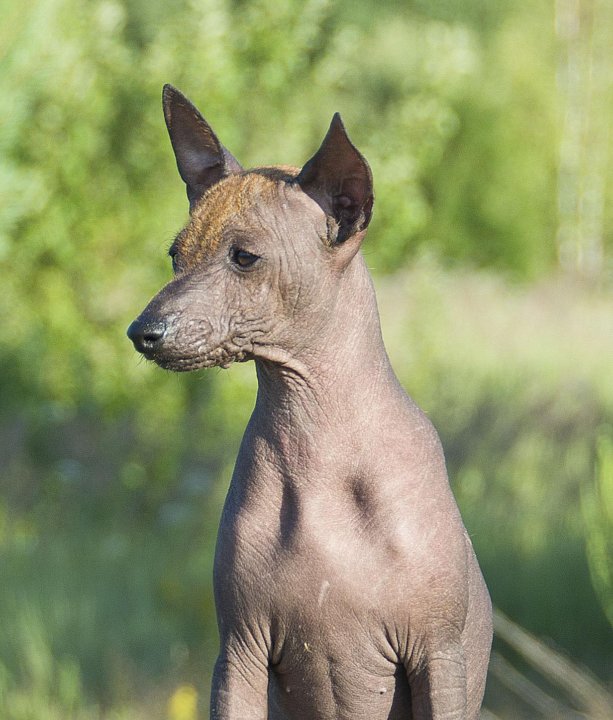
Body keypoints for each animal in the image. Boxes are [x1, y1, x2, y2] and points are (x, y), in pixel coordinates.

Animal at [126, 87, 490, 716]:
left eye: (244, 257)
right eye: (175, 255)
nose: (143, 332)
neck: (320, 444)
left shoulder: (438, 657)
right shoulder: (239, 653)